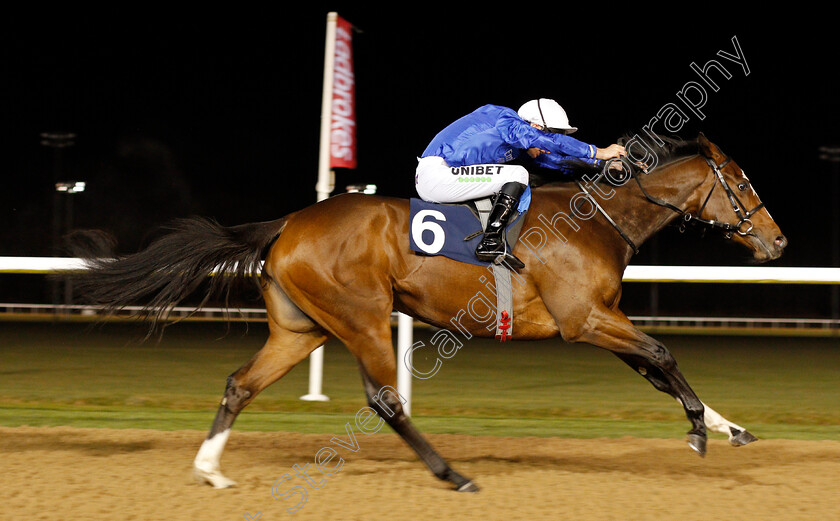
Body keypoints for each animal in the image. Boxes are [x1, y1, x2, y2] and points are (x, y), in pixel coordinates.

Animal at [72, 132, 788, 490]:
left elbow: (659, 370)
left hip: (302, 329)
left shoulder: (598, 319)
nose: (779, 242)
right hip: (361, 316)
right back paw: (453, 474)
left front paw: (728, 428)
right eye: (743, 183)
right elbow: (664, 354)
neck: (597, 221)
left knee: (240, 384)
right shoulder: (584, 321)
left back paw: (210, 470)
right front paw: (699, 431)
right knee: (385, 399)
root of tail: (288, 223)